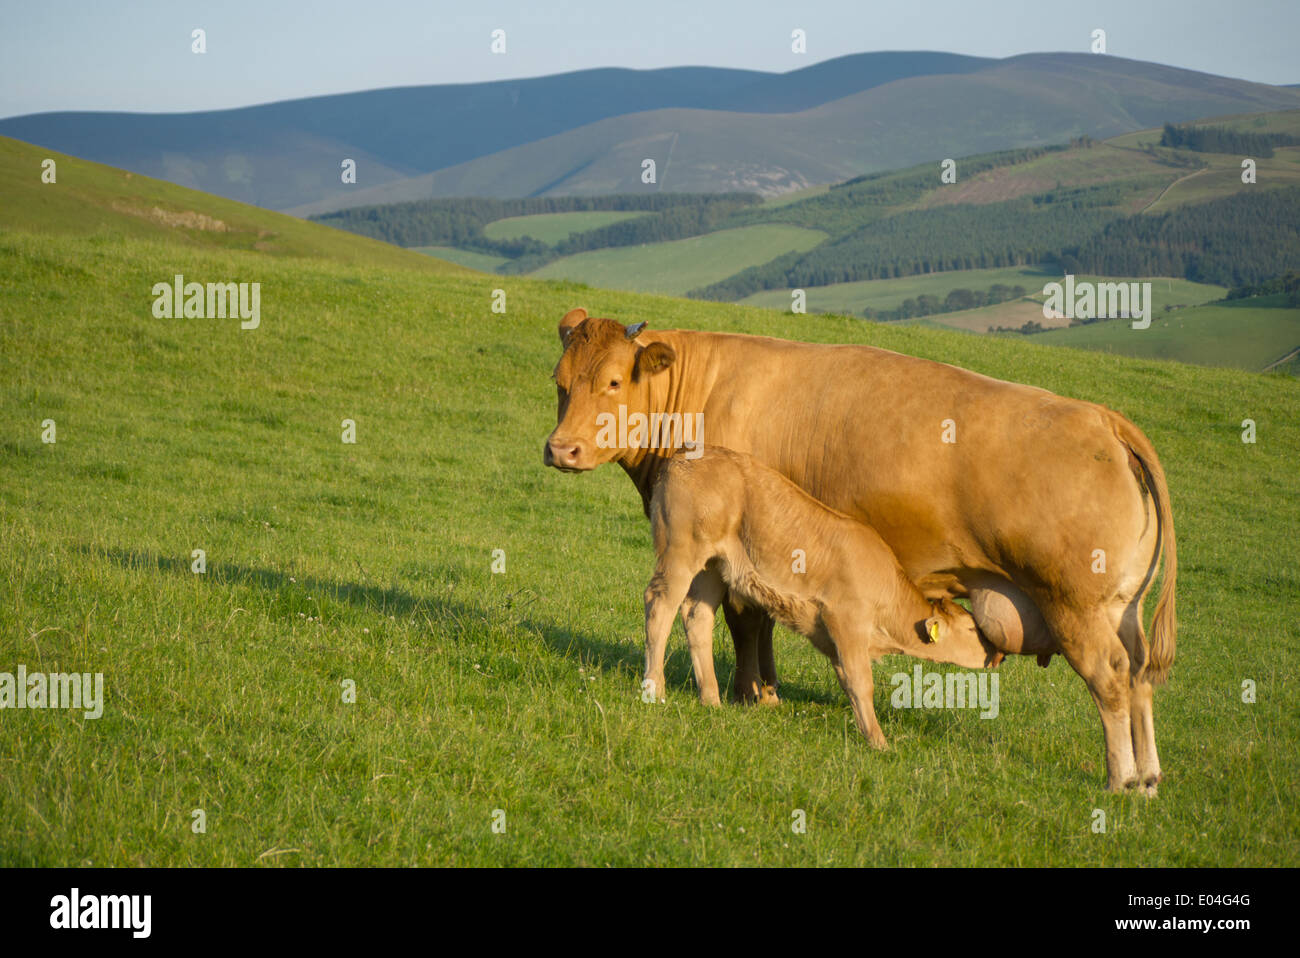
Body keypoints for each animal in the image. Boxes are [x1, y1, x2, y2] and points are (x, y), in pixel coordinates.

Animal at [644, 445, 1002, 748]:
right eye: (972, 628)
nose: (999, 653)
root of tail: (681, 458)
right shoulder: (846, 620)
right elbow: (862, 682)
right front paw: (879, 743)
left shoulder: (834, 639)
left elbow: (849, 682)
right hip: (681, 551)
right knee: (659, 606)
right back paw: (654, 690)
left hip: (713, 566)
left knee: (697, 615)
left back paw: (711, 700)